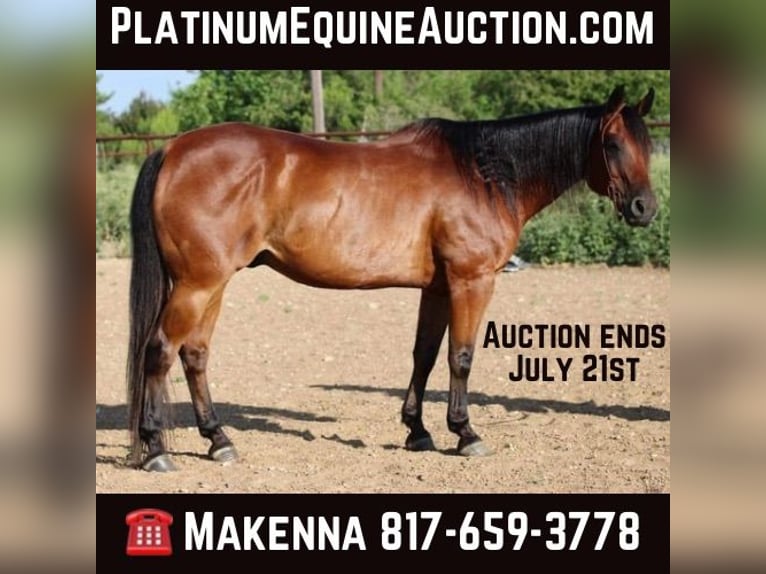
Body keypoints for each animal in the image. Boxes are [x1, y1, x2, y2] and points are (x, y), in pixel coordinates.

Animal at [126, 85, 657, 471]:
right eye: (612, 144)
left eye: (648, 145)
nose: (644, 209)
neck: (483, 175)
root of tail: (173, 150)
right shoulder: (471, 281)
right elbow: (461, 357)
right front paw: (465, 433)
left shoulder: (438, 288)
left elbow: (425, 355)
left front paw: (417, 431)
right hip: (198, 284)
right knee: (159, 351)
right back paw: (156, 450)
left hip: (213, 283)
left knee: (194, 355)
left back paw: (219, 440)